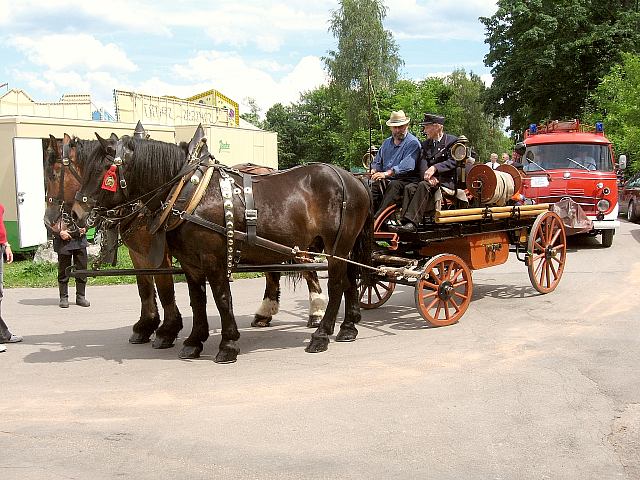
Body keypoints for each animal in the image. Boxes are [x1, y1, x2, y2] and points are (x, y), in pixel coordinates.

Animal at [74, 133, 376, 362]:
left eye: (103, 172)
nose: (76, 213)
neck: (189, 191)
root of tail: (352, 178)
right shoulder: (190, 263)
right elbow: (197, 300)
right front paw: (194, 341)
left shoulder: (213, 259)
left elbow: (221, 299)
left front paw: (228, 344)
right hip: (342, 248)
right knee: (350, 280)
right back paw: (348, 328)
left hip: (336, 246)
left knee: (336, 284)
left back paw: (321, 335)